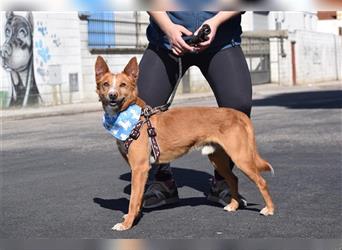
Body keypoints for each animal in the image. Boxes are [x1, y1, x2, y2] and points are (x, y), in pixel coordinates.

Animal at [94, 55, 276, 231]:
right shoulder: (138, 169)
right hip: (218, 159)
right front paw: (135, 217)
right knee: (233, 179)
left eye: (123, 85)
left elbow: (133, 200)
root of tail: (237, 113)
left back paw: (269, 209)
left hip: (241, 157)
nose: (112, 95)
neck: (133, 117)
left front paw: (127, 224)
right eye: (105, 84)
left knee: (261, 182)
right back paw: (233, 205)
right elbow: (137, 198)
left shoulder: (139, 168)